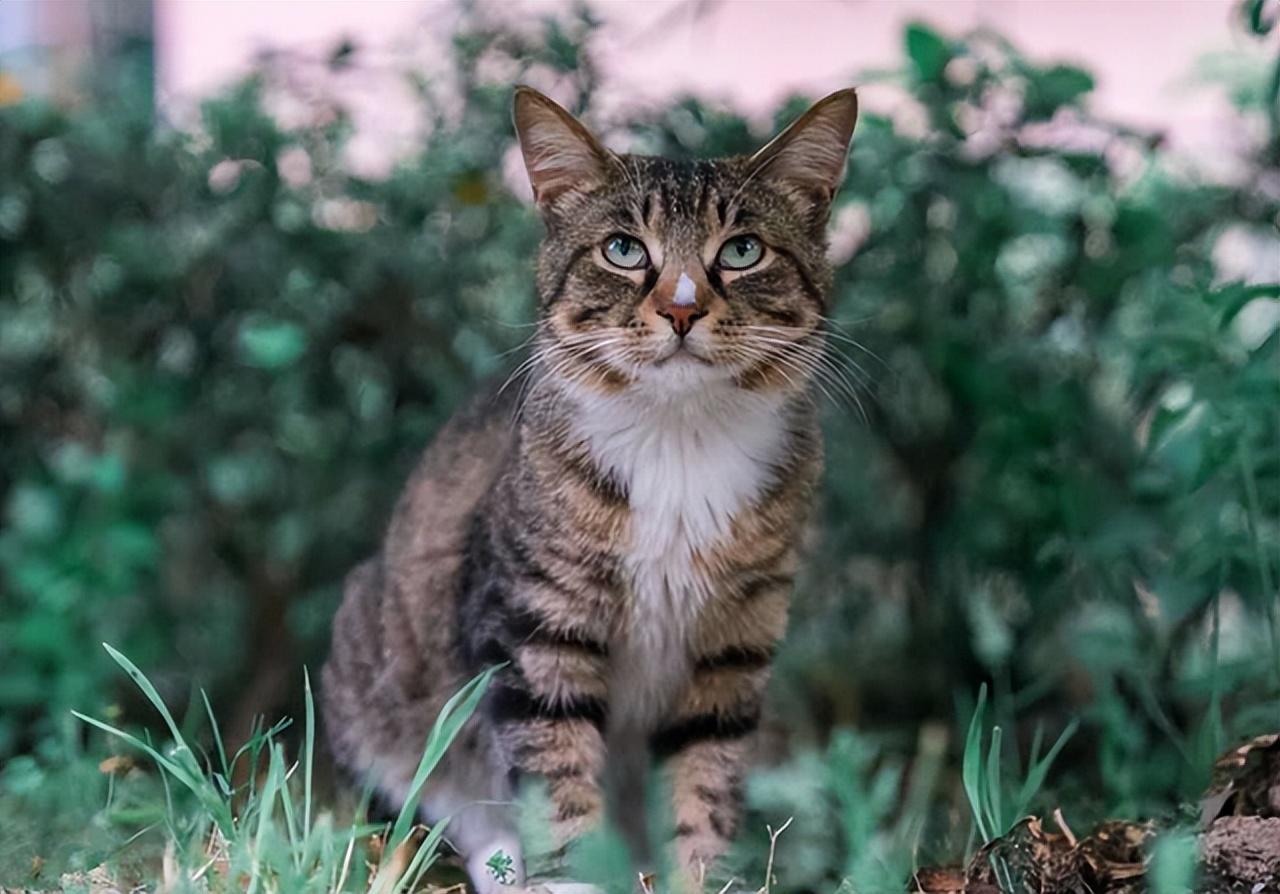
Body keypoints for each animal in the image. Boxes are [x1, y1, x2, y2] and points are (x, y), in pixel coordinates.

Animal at [320, 85, 860, 891]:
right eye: (623, 250)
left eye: (742, 250)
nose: (681, 308)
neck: (678, 445)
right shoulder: (535, 626)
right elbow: (557, 770)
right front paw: (570, 876)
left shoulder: (733, 642)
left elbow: (706, 777)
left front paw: (700, 875)